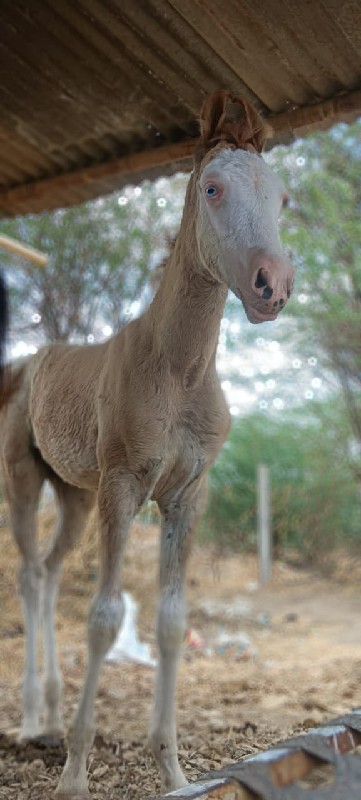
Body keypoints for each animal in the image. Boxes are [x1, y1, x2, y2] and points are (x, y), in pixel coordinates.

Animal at [0, 92, 292, 792]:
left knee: (52, 573)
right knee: (28, 575)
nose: (272, 284)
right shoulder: (125, 486)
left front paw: (175, 771)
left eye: (282, 197)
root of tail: (25, 363)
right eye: (212, 187)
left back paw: (51, 717)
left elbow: (171, 622)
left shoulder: (187, 494)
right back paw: (32, 721)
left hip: (74, 494)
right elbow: (104, 618)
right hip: (25, 479)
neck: (178, 371)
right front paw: (75, 778)